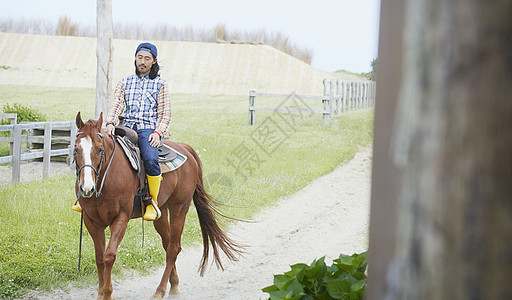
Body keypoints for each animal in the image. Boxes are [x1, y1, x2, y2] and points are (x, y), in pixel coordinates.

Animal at [73, 111, 245, 298]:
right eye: (76, 149)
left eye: (99, 149)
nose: (86, 188)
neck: (106, 178)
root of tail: (185, 148)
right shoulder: (91, 221)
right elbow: (99, 258)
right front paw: (101, 293)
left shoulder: (121, 218)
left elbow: (109, 256)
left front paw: (107, 293)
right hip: (161, 212)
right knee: (168, 244)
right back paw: (174, 284)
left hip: (179, 208)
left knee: (173, 248)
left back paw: (160, 291)